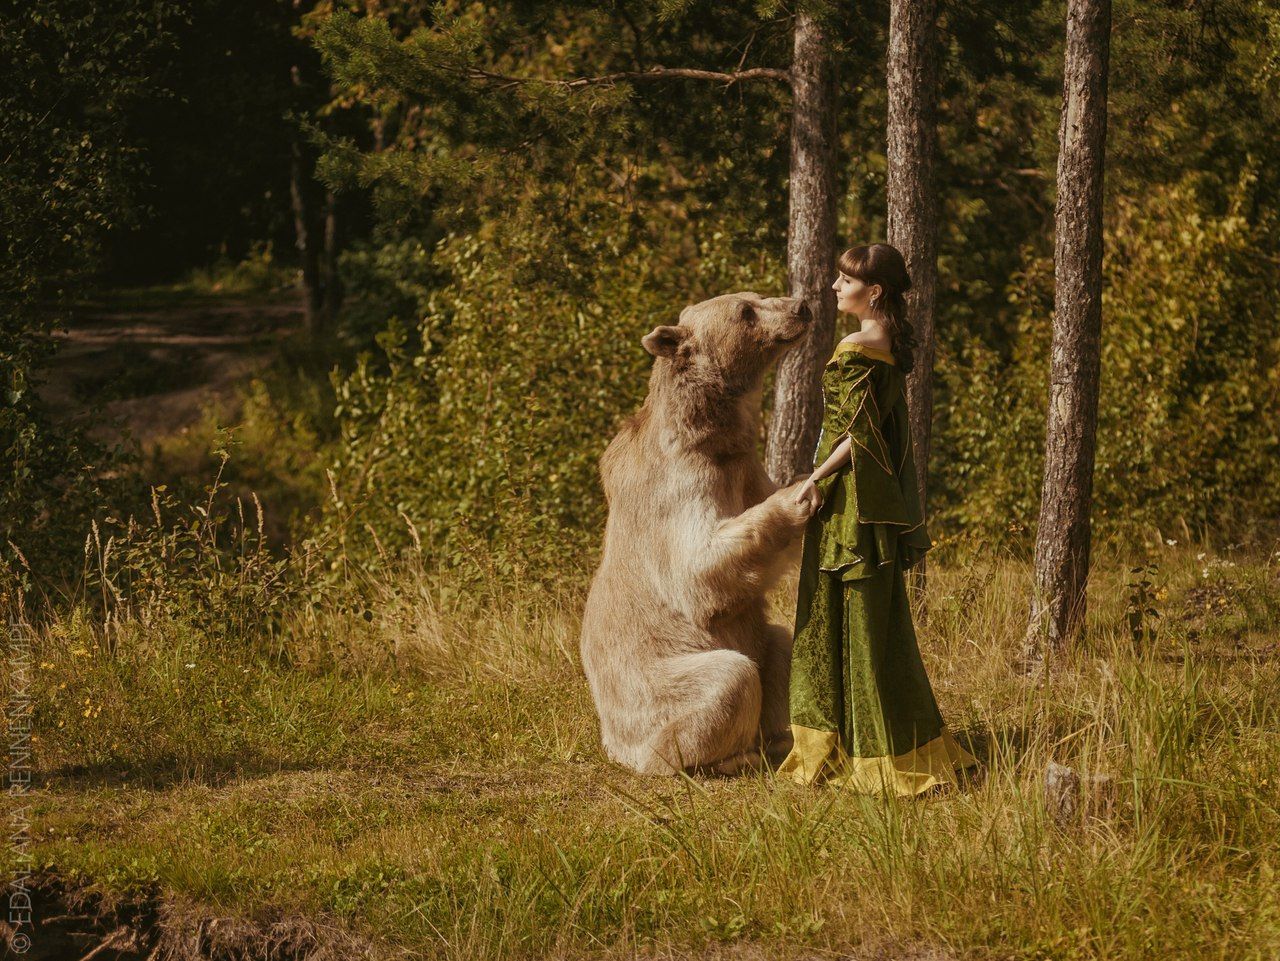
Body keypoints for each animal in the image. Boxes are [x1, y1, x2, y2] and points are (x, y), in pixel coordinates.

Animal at [581, 291, 808, 772]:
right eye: (746, 311)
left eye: (757, 296)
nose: (801, 307)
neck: (712, 435)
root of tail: (612, 743)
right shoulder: (677, 482)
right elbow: (696, 567)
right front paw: (799, 494)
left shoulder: (744, 469)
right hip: (654, 689)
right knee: (730, 677)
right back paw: (732, 756)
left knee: (780, 642)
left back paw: (778, 738)